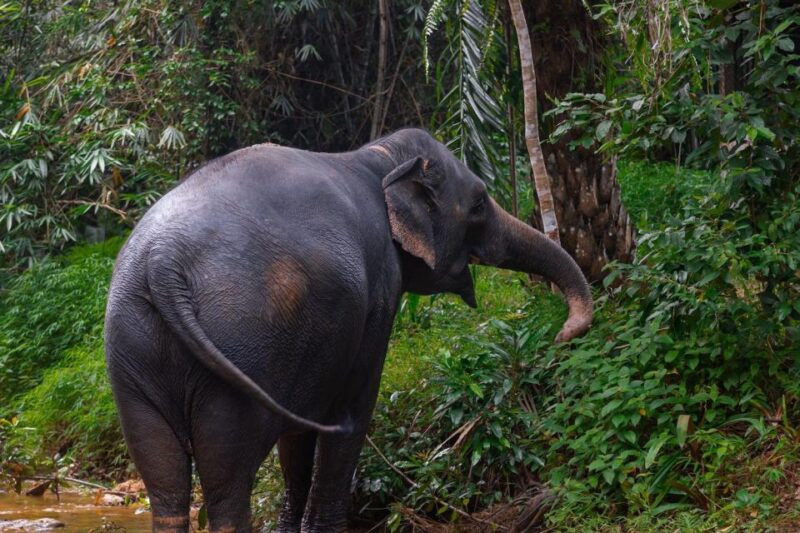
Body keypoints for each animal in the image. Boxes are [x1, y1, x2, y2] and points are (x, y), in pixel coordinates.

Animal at [104, 128, 592, 532]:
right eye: (478, 203)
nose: (562, 335)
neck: (377, 156)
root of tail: (163, 261)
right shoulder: (378, 293)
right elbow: (354, 411)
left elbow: (296, 439)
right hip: (238, 345)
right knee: (228, 480)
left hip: (134, 349)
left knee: (164, 478)